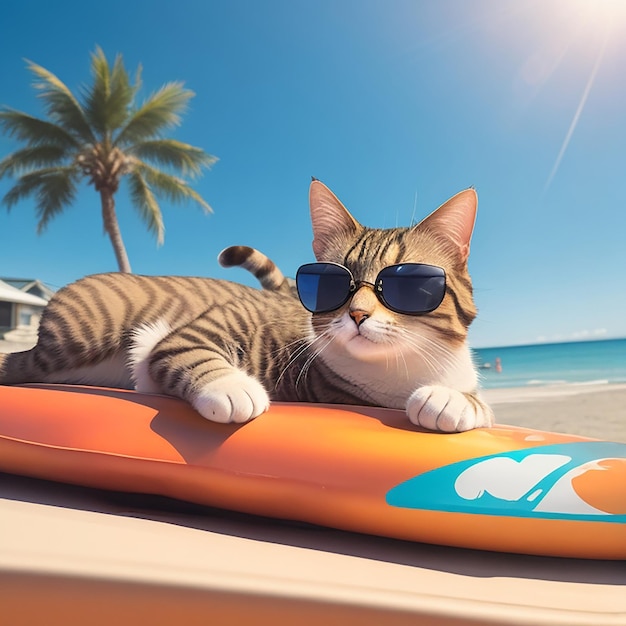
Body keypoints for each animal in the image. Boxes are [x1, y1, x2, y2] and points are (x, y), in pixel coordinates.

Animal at [0, 180, 492, 432]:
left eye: (407, 284)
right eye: (331, 282)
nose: (357, 314)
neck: (406, 366)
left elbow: (477, 402)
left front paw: (453, 400)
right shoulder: (203, 329)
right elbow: (182, 349)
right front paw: (232, 386)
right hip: (78, 338)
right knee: (19, 361)